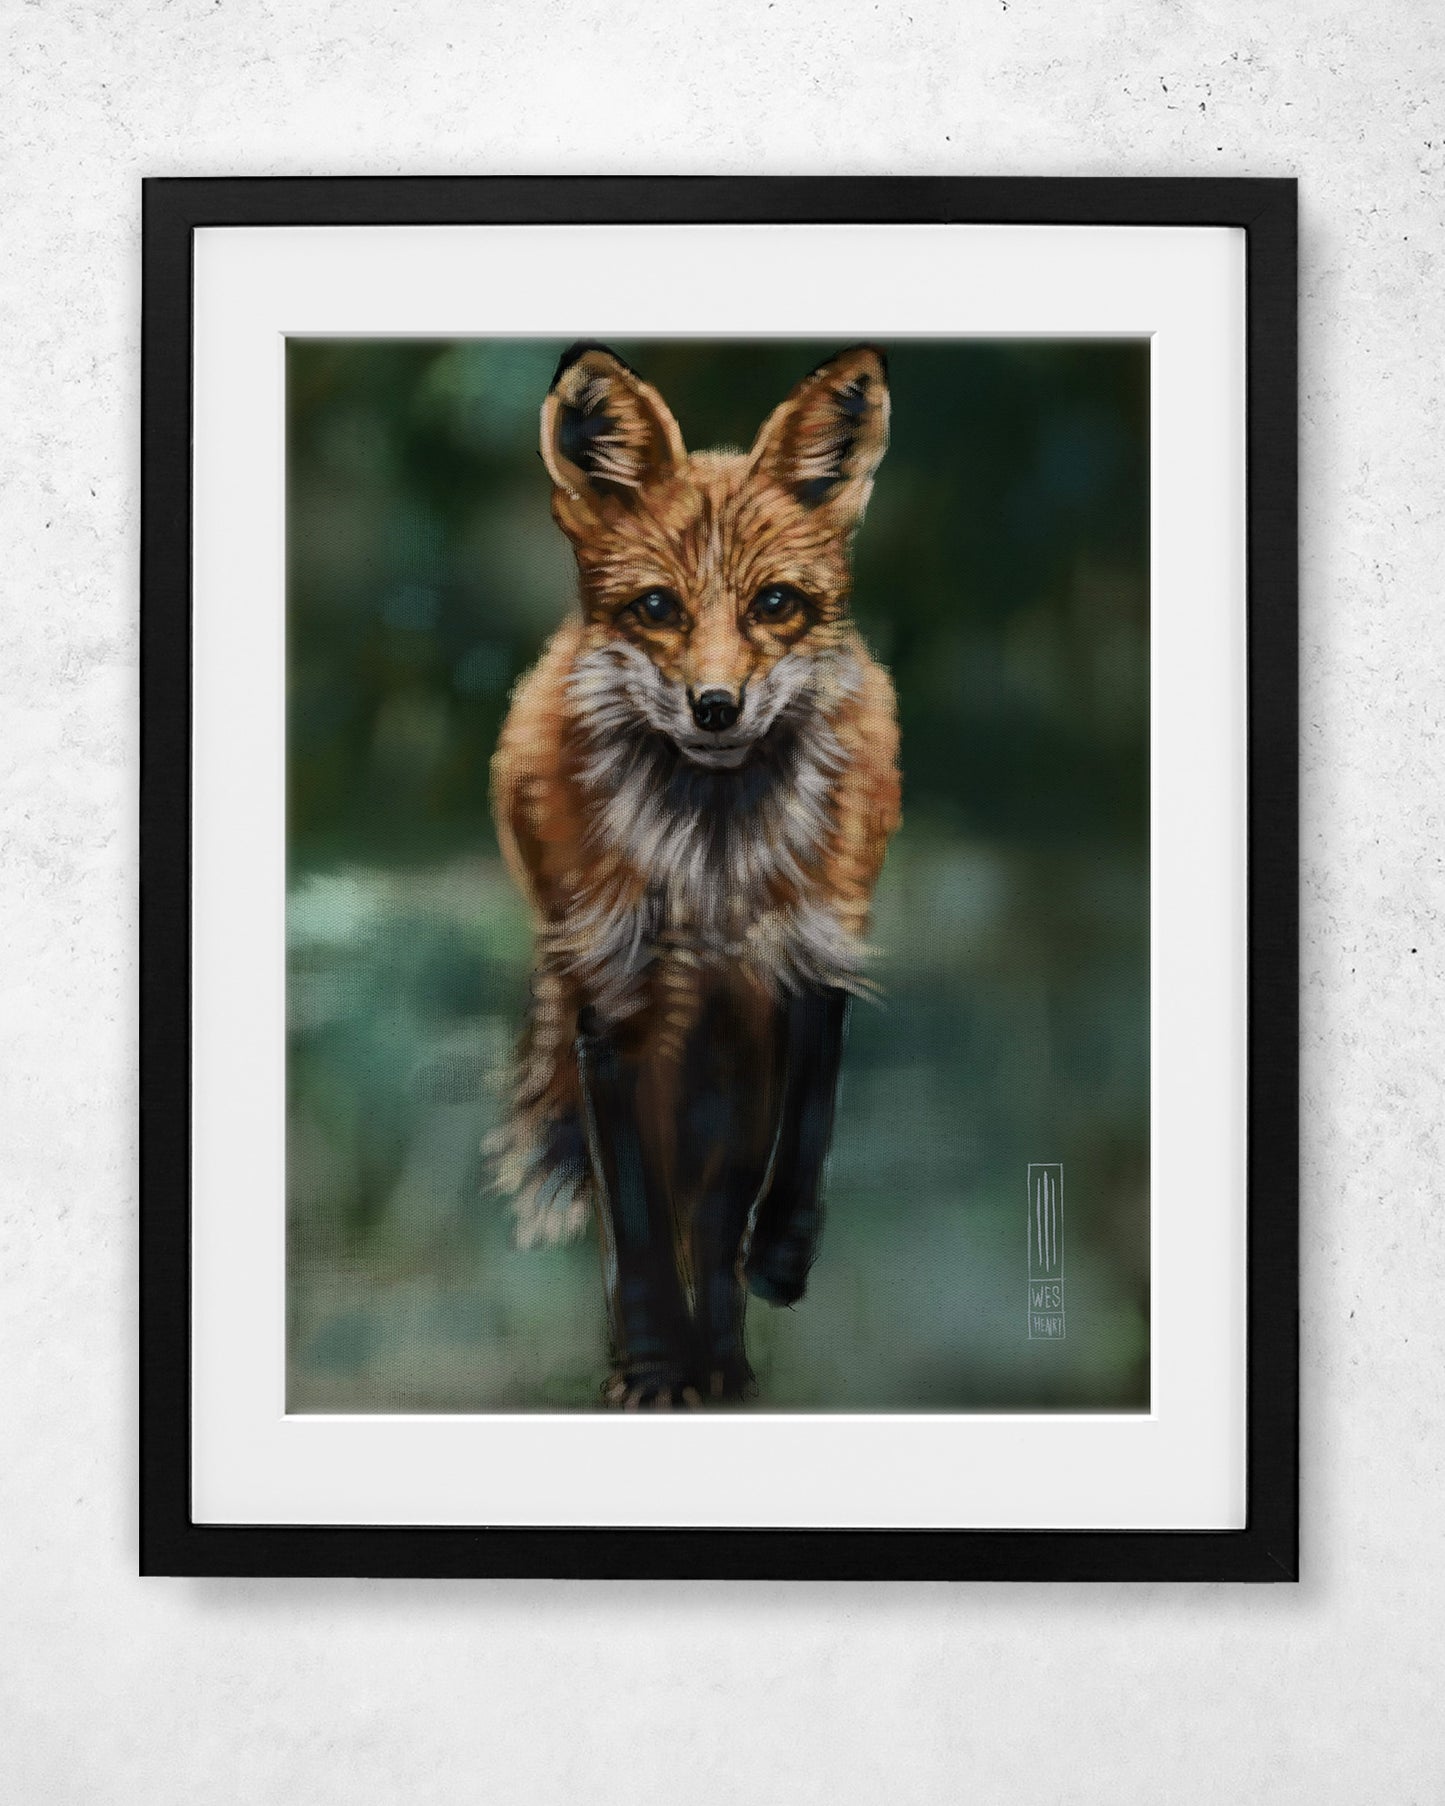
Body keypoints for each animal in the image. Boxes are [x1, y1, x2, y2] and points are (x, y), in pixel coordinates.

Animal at [490, 340, 901, 1408]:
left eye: (775, 604)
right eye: (657, 608)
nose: (716, 706)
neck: (712, 875)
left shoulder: (782, 982)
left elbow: (748, 1181)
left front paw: (741, 1313)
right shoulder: (613, 1003)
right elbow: (636, 1211)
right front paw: (651, 1361)